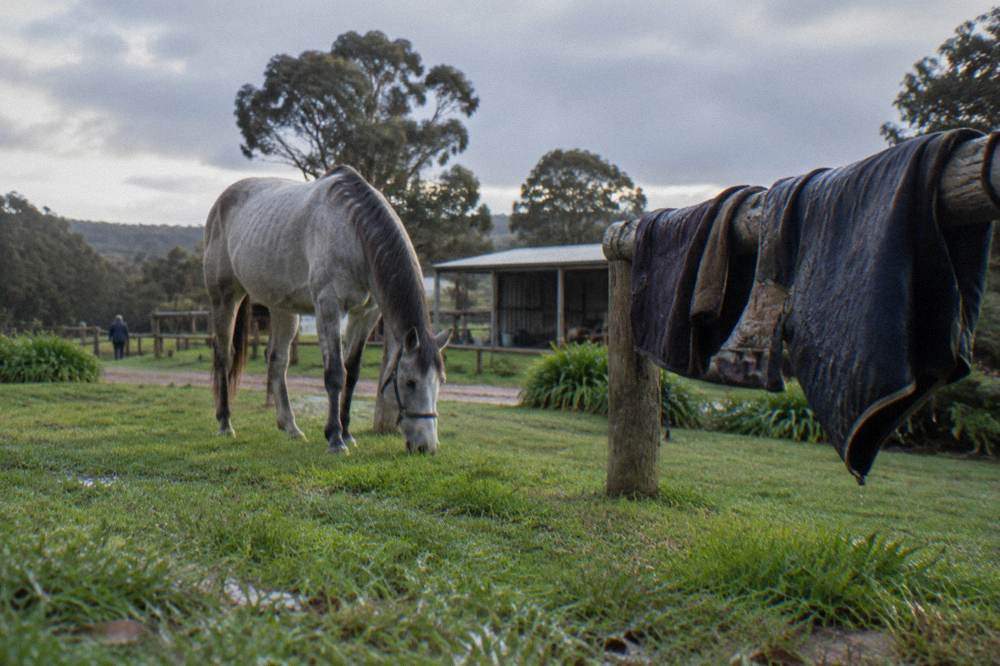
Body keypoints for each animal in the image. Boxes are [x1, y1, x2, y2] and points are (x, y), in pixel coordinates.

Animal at [203, 166, 450, 454]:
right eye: (410, 382)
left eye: (441, 381)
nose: (427, 446)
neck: (353, 232)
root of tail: (221, 202)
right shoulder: (328, 306)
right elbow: (334, 373)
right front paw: (335, 438)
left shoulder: (366, 314)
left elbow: (352, 373)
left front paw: (348, 433)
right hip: (225, 298)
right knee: (224, 356)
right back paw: (225, 423)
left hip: (283, 308)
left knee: (277, 361)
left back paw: (291, 427)